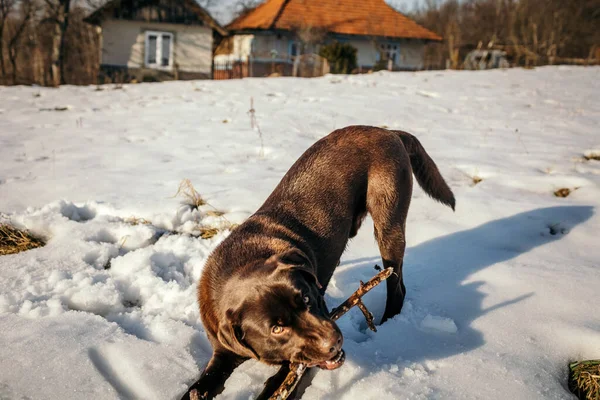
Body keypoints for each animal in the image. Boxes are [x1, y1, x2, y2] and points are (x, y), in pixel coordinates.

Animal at [183, 126, 454, 398]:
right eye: (276, 329)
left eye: (305, 298)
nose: (334, 342)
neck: (243, 261)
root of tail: (387, 131)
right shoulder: (222, 351)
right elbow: (201, 384)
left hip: (388, 222)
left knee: (396, 286)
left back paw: (388, 324)